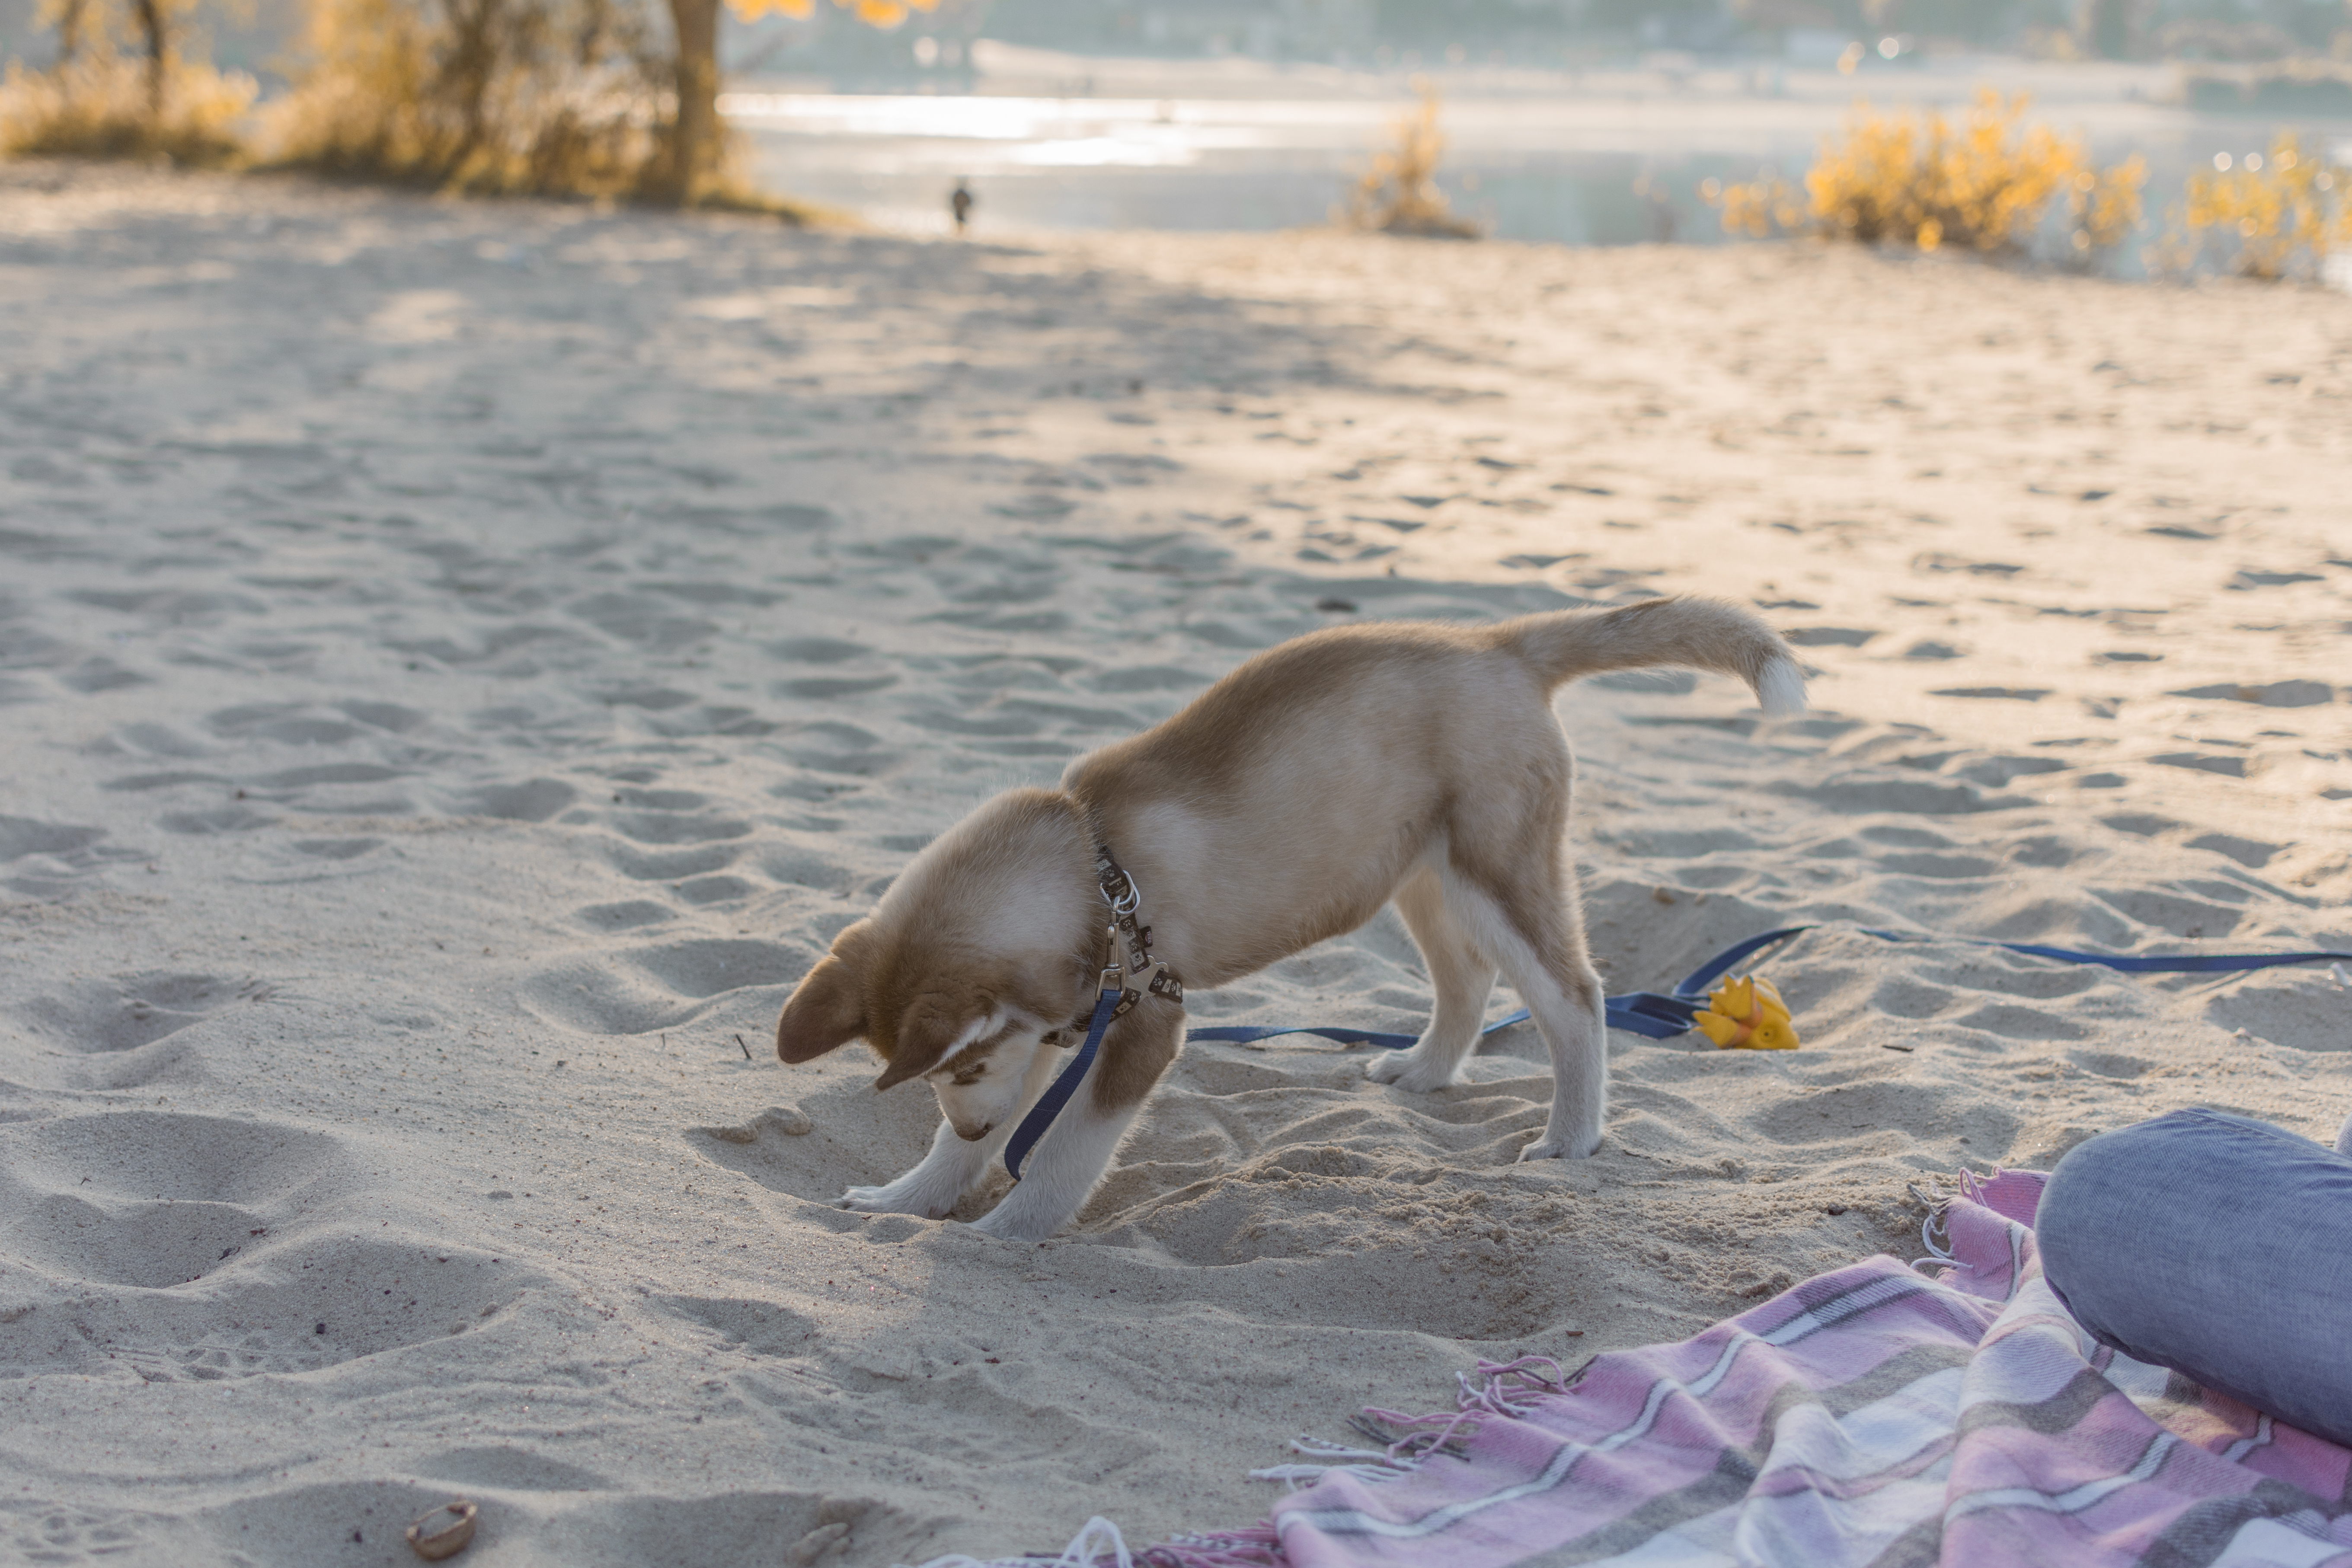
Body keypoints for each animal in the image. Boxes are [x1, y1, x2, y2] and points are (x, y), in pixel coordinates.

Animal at [771, 597, 1797, 1241]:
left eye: (965, 1066)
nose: (983, 1127)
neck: (1090, 866)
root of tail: (1496, 644)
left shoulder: (1142, 1021)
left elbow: (1063, 1153)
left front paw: (1000, 1231)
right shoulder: (1057, 1020)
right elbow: (971, 1140)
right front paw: (910, 1195)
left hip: (1496, 870)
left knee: (1575, 995)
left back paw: (1571, 1138)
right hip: (1419, 877)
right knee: (1466, 979)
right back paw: (1425, 1071)